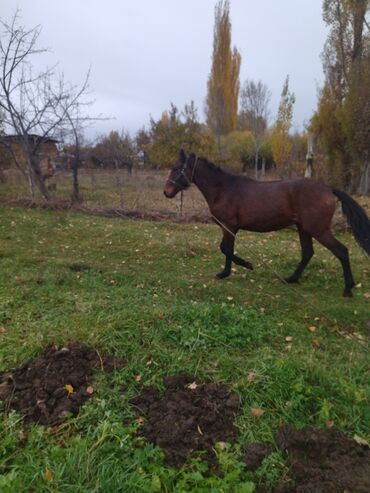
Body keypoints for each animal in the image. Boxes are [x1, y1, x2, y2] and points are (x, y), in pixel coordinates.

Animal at [164, 150, 370, 296]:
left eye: (177, 169)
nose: (166, 192)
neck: (223, 189)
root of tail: (328, 189)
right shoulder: (229, 228)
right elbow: (225, 249)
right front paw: (231, 270)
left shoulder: (229, 226)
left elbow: (226, 249)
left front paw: (240, 268)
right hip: (304, 229)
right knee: (307, 253)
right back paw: (291, 279)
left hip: (318, 229)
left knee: (341, 251)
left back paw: (348, 289)